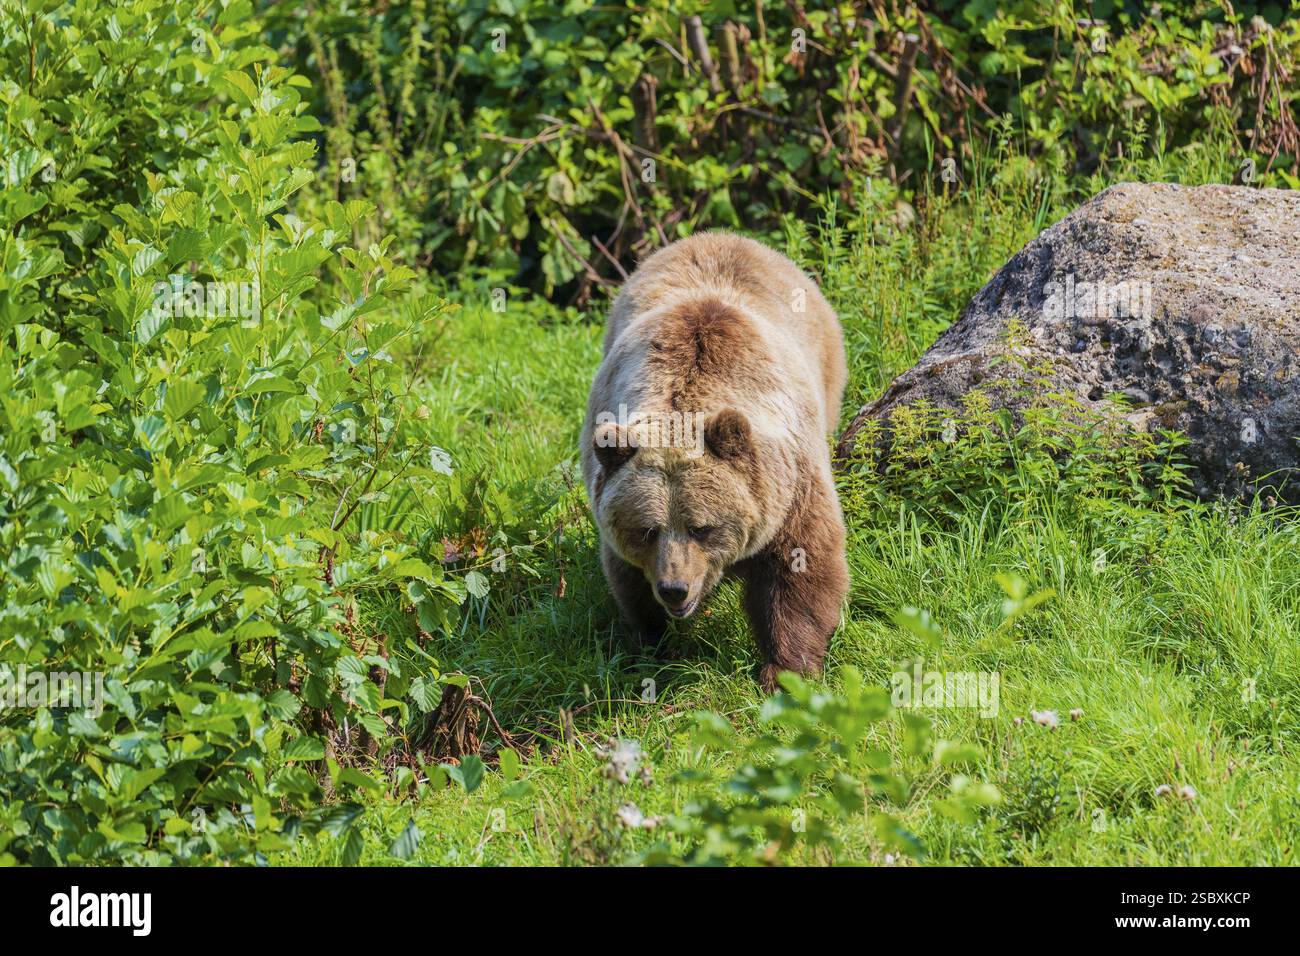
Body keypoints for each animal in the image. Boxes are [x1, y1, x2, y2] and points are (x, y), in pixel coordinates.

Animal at [580, 231, 850, 692]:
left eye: (702, 528)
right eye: (647, 530)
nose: (674, 589)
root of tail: (721, 236)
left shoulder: (790, 484)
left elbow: (802, 564)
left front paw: (786, 671)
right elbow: (628, 580)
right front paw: (653, 646)